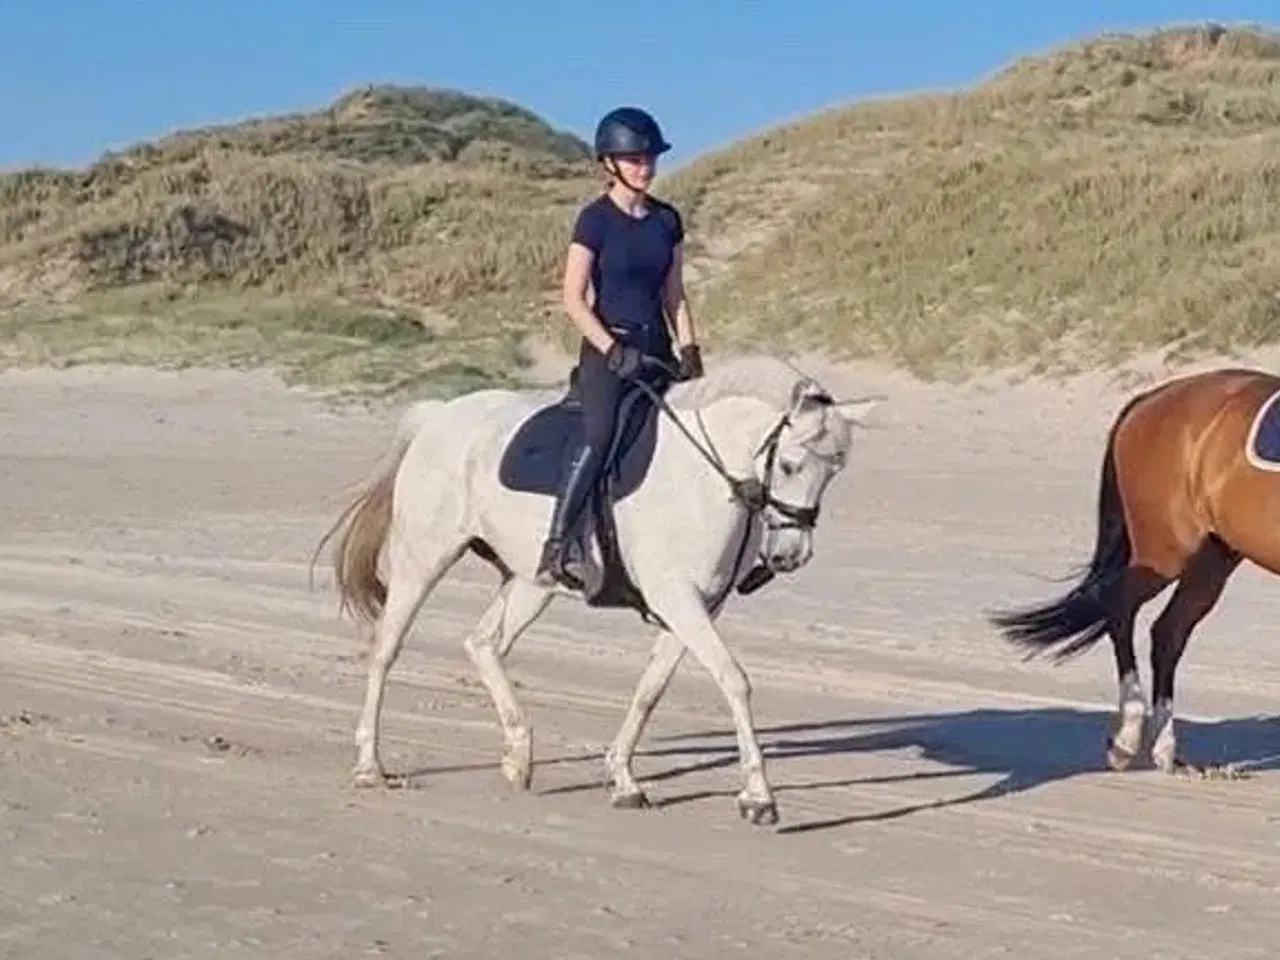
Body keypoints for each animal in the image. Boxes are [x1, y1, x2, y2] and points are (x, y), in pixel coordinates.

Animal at [314, 354, 880, 825]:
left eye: (833, 473)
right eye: (788, 465)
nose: (790, 556)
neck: (702, 479)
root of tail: (438, 416)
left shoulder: (696, 606)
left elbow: (650, 690)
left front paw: (624, 779)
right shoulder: (678, 598)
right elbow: (734, 681)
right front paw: (759, 798)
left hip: (530, 582)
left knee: (483, 644)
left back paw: (519, 756)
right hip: (424, 558)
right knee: (386, 651)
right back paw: (371, 766)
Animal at [987, 366, 1280, 777]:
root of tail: (1152, 398)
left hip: (1211, 558)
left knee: (1168, 633)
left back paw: (1165, 750)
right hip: (1167, 552)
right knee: (1120, 607)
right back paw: (1127, 739)